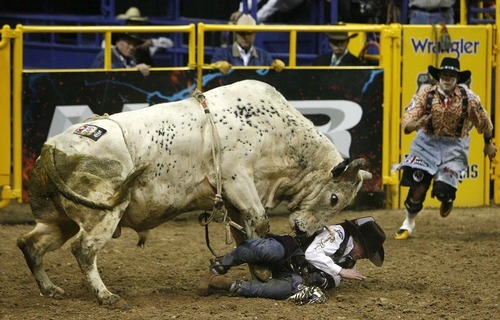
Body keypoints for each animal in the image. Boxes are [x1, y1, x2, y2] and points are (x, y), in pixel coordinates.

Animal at [17, 79, 372, 308]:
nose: (304, 231)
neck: (278, 135)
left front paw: (255, 270)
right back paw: (107, 297)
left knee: (30, 243)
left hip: (58, 218)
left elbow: (244, 233)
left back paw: (51, 289)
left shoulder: (234, 199)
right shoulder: (237, 179)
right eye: (334, 198)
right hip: (103, 214)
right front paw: (264, 271)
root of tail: (53, 146)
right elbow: (258, 221)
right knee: (84, 249)